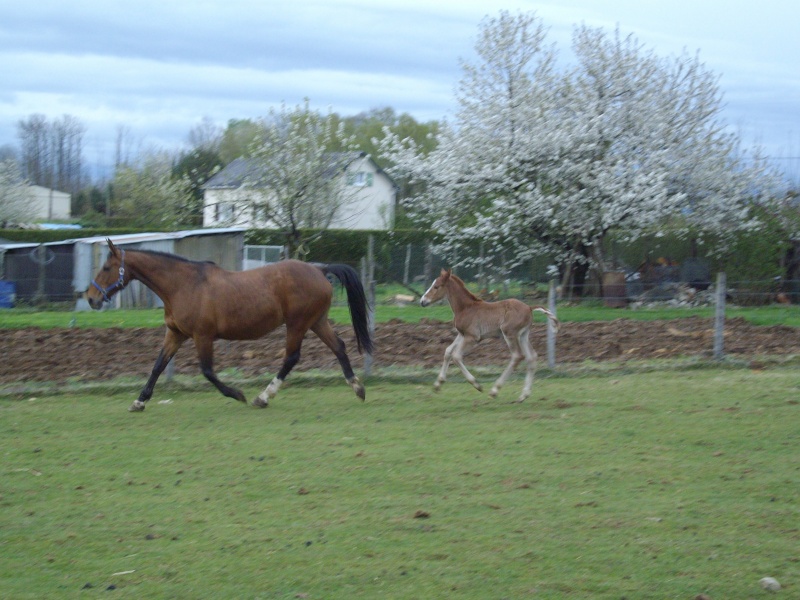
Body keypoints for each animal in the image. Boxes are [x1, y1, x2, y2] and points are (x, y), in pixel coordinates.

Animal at [86, 239, 374, 412]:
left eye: (106, 267)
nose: (90, 297)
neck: (183, 285)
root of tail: (319, 270)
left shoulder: (202, 336)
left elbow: (207, 371)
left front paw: (238, 394)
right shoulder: (176, 334)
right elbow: (158, 366)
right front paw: (139, 401)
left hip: (297, 324)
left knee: (291, 357)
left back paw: (262, 397)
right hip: (316, 322)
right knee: (339, 347)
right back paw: (358, 389)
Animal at [422, 270, 560, 404]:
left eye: (436, 286)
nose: (422, 301)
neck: (466, 307)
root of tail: (529, 307)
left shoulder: (472, 337)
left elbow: (456, 356)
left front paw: (477, 385)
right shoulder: (462, 334)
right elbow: (448, 351)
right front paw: (438, 384)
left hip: (509, 333)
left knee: (517, 356)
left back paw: (495, 390)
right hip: (523, 335)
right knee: (531, 357)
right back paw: (523, 396)